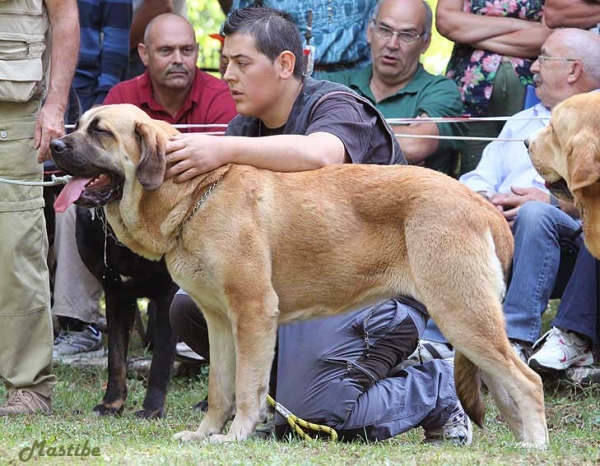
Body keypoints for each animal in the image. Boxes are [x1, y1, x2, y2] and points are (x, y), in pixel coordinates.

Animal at [50, 104, 548, 446]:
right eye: (80, 123)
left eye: (99, 131)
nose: (54, 144)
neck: (193, 195)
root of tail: (481, 203)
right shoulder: (219, 320)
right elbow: (220, 388)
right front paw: (205, 434)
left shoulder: (253, 312)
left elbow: (246, 389)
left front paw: (235, 437)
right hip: (471, 322)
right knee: (502, 383)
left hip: (461, 314)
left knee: (528, 380)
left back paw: (534, 445)